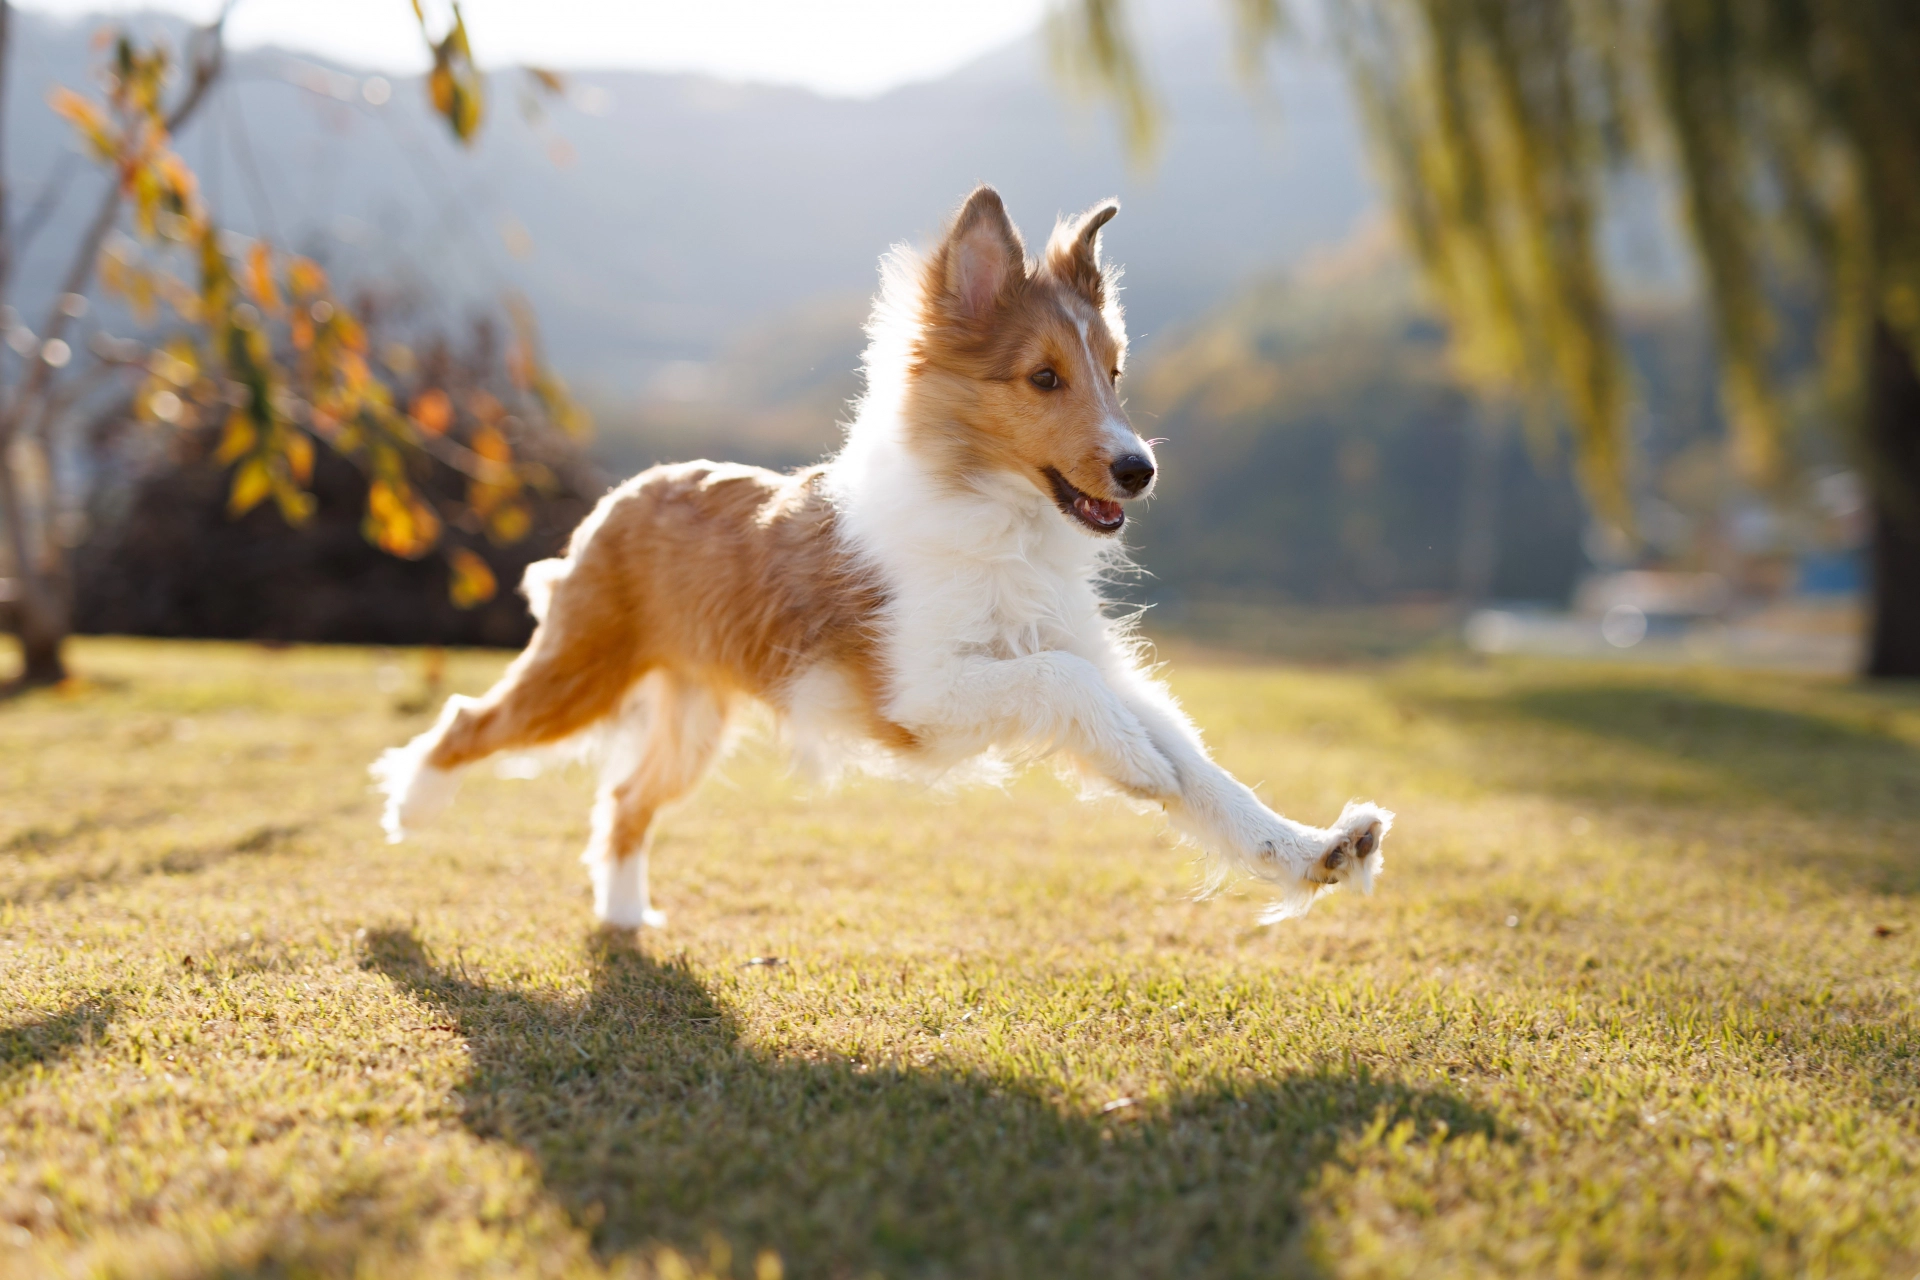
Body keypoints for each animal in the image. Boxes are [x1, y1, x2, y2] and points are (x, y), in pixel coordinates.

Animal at [374, 188, 1390, 932]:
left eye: (1115, 374)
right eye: (1044, 377)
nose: (1140, 470)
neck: (1001, 526)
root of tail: (624, 495)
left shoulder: (1100, 667)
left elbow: (1204, 774)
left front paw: (1317, 852)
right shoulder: (918, 698)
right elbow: (1065, 689)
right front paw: (1141, 769)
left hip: (694, 717)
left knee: (624, 799)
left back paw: (625, 917)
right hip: (582, 670)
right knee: (467, 719)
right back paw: (411, 809)